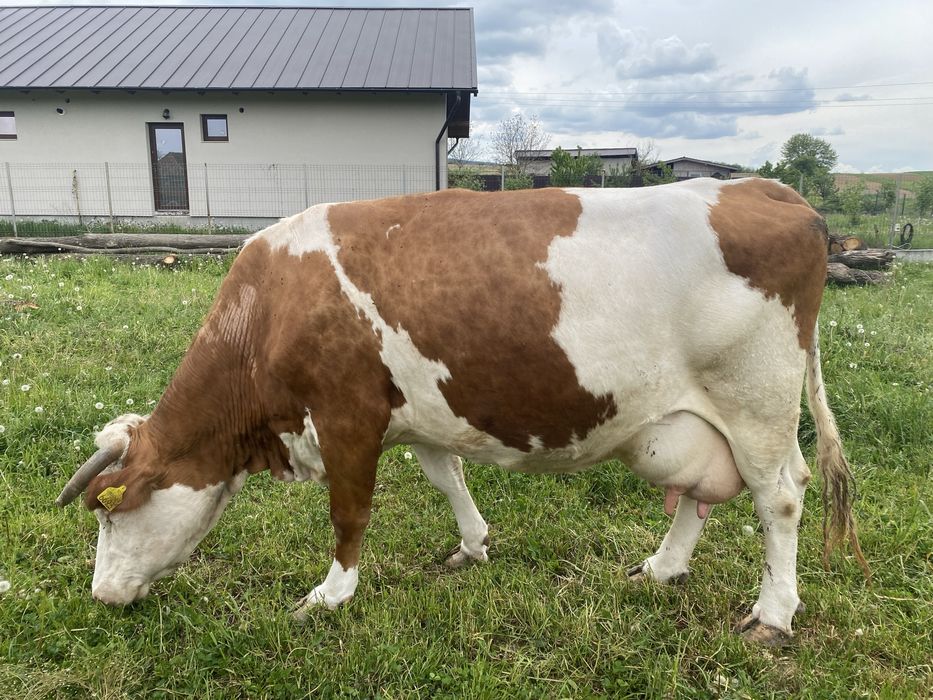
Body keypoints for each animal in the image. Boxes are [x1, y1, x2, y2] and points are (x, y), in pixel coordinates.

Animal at [56, 178, 868, 645]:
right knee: (700, 494)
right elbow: (446, 476)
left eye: (110, 513)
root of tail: (767, 187)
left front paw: (330, 595)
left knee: (779, 498)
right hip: (697, 417)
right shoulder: (417, 409)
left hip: (755, 398)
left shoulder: (347, 414)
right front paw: (472, 547)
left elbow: (349, 514)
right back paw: (661, 569)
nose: (99, 595)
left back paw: (772, 616)